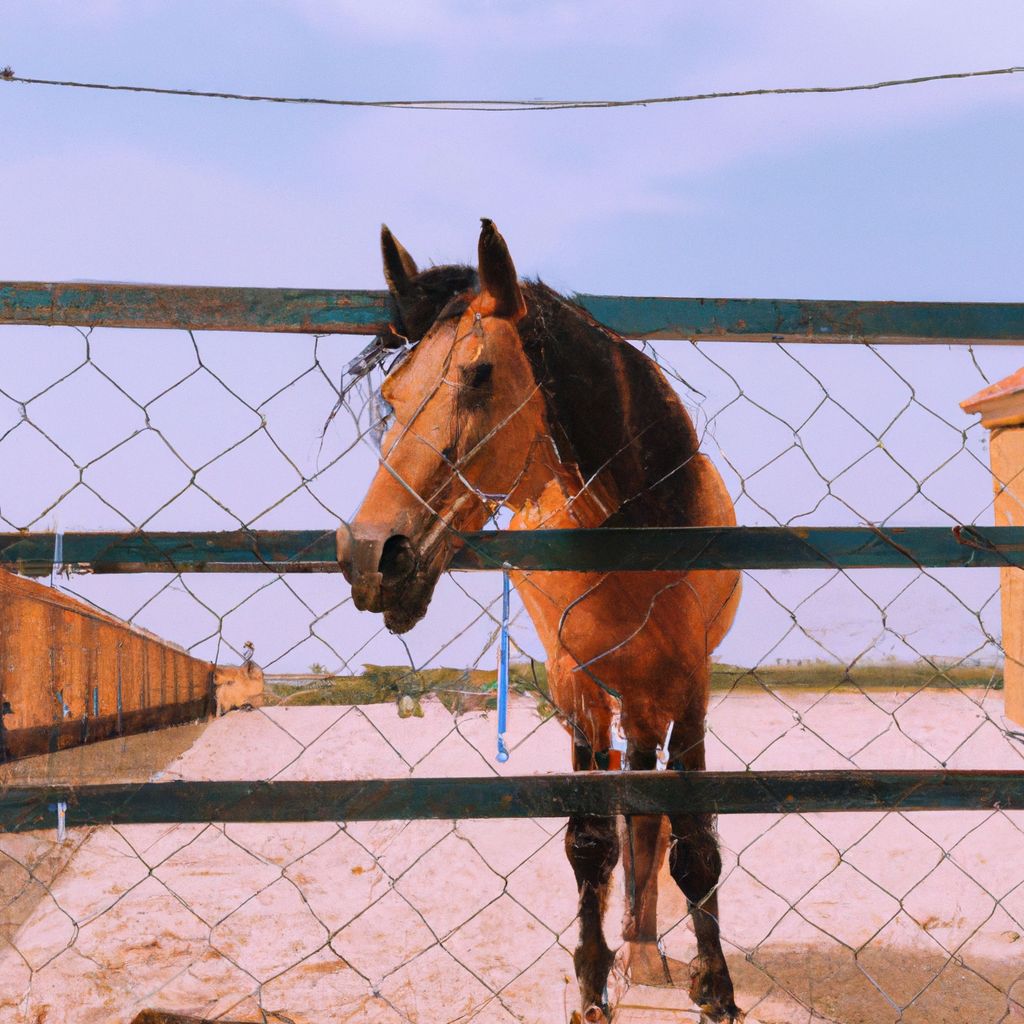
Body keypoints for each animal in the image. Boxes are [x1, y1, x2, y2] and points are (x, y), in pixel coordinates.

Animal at [337, 222, 745, 1024]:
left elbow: (694, 844)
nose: (372, 556)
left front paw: (715, 989)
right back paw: (636, 948)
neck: (633, 535)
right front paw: (591, 985)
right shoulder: (574, 683)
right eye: (392, 395)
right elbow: (591, 841)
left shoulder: (691, 683)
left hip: (650, 696)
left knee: (651, 816)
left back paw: (648, 949)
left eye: (479, 374)